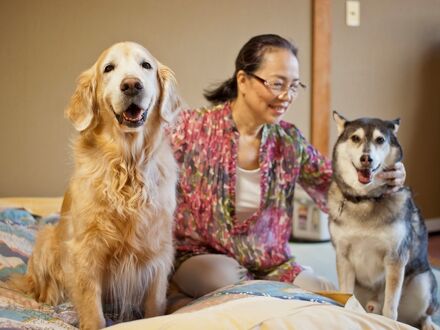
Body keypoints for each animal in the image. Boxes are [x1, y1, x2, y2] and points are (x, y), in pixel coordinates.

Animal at [328, 112, 438, 328]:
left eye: (380, 140)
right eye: (355, 138)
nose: (366, 158)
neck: (365, 200)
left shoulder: (395, 258)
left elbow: (390, 309)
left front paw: (389, 323)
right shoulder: (343, 256)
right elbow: (346, 295)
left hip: (423, 283)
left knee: (420, 315)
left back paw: (428, 324)